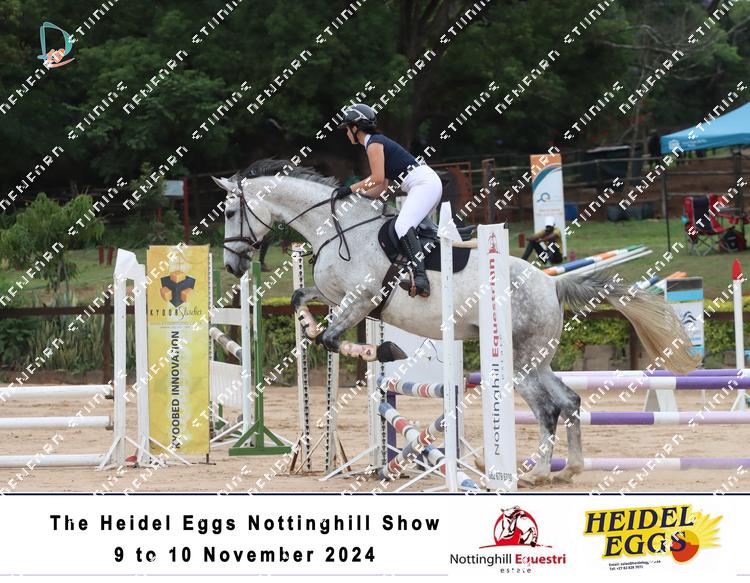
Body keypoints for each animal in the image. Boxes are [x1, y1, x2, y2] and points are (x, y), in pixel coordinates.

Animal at [215, 159, 699, 486]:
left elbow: (332, 340)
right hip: (535, 358)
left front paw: (382, 348)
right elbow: (302, 302)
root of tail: (550, 283)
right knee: (569, 401)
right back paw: (566, 470)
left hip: (518, 363)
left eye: (230, 213)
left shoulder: (359, 301)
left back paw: (536, 472)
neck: (337, 229)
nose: (232, 265)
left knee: (547, 408)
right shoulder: (337, 297)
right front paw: (314, 327)